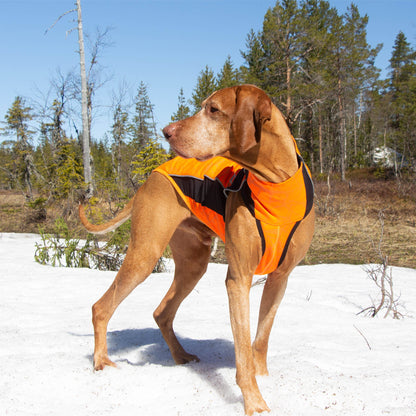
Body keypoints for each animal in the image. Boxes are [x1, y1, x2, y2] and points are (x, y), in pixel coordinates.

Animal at [79, 83, 316, 412]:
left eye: (213, 109)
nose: (166, 131)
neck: (276, 184)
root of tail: (150, 177)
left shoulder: (280, 278)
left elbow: (260, 339)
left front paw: (263, 379)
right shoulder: (238, 279)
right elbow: (243, 350)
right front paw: (254, 402)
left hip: (193, 264)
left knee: (162, 312)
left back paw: (180, 357)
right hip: (145, 254)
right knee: (101, 307)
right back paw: (101, 362)